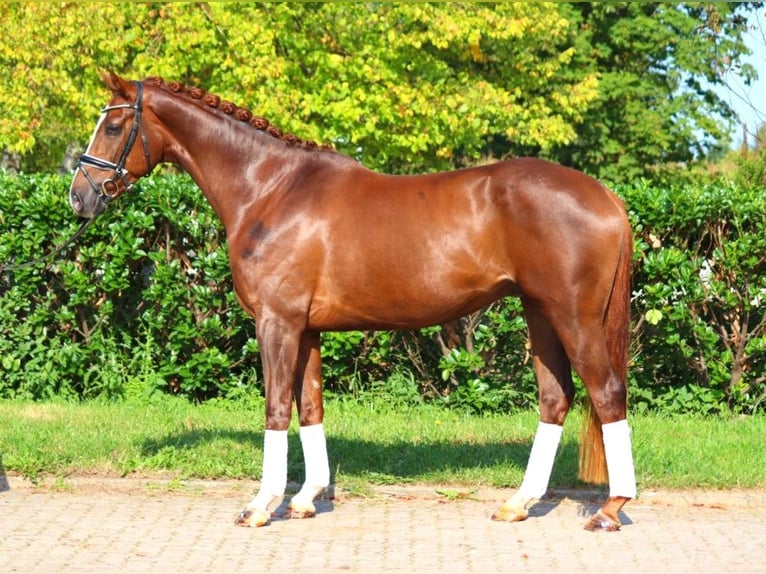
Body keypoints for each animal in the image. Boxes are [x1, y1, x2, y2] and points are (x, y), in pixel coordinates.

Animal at [70, 73, 636, 536]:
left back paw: (611, 510)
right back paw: (518, 503)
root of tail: (606, 197)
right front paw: (304, 499)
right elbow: (310, 406)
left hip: (573, 317)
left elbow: (277, 407)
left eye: (114, 127)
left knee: (606, 393)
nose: (80, 197)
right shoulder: (305, 329)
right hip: (540, 315)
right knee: (556, 399)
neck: (270, 189)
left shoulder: (276, 323)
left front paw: (260, 505)